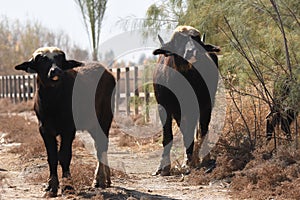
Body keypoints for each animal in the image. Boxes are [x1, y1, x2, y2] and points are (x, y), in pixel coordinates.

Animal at [15, 47, 116, 197]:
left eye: (60, 59)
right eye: (41, 59)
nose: (55, 71)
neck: (53, 102)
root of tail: (107, 73)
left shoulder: (68, 129)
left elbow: (64, 156)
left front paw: (68, 186)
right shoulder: (44, 130)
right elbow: (52, 157)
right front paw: (51, 187)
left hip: (104, 119)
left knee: (102, 146)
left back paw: (99, 179)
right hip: (92, 124)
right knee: (99, 145)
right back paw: (106, 179)